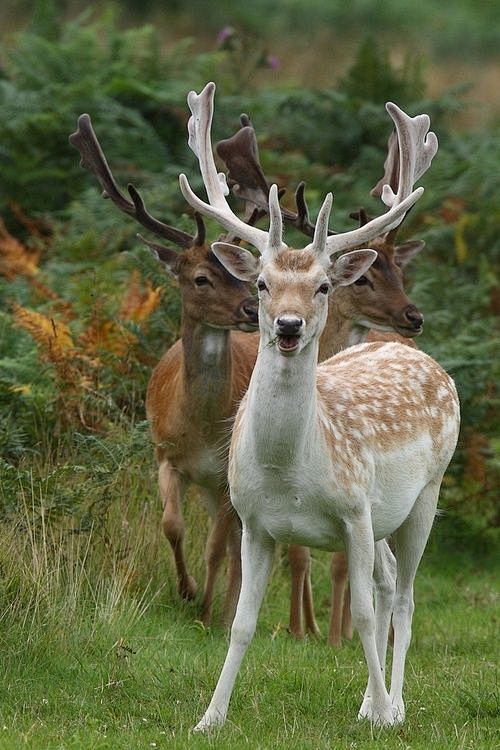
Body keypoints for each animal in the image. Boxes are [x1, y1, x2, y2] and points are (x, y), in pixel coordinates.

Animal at [69, 114, 262, 624]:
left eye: (247, 275)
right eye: (201, 278)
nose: (253, 309)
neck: (200, 429)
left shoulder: (224, 474)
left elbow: (214, 546)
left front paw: (207, 607)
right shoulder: (165, 455)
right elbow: (172, 525)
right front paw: (187, 591)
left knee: (238, 542)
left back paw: (229, 607)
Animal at [217, 108, 432, 644]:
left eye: (324, 286)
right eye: (260, 283)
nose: (288, 325)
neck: (286, 470)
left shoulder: (356, 514)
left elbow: (361, 610)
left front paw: (340, 643)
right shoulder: (252, 521)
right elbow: (242, 623)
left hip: (422, 499)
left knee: (403, 594)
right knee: (388, 577)